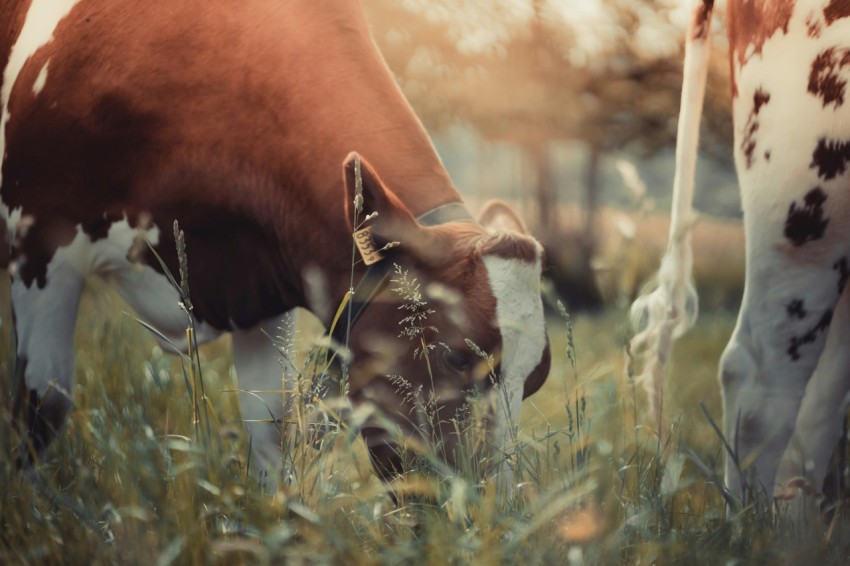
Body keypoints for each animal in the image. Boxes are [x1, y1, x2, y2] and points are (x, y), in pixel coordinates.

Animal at [1, 0, 548, 484]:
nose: (487, 514)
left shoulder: (259, 279)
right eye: (456, 357)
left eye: (536, 380)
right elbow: (43, 406)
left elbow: (270, 428)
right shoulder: (40, 240)